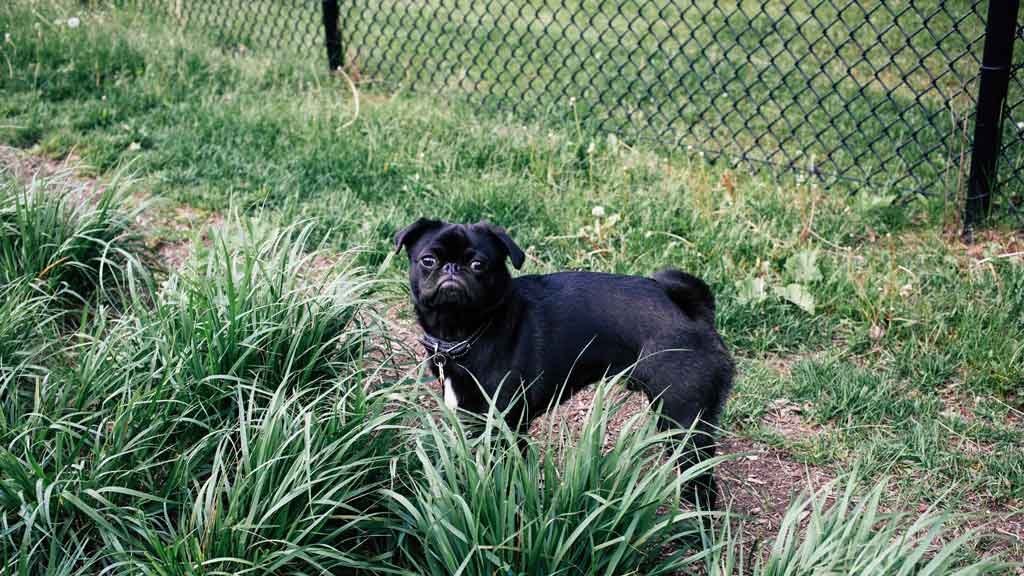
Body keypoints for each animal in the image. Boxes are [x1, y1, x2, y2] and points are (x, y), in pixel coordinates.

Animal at [395, 217, 733, 504]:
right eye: (428, 260)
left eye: (479, 265)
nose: (452, 269)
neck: (465, 333)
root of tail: (695, 312)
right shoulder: (476, 421)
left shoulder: (509, 426)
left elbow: (508, 474)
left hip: (683, 423)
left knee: (702, 482)